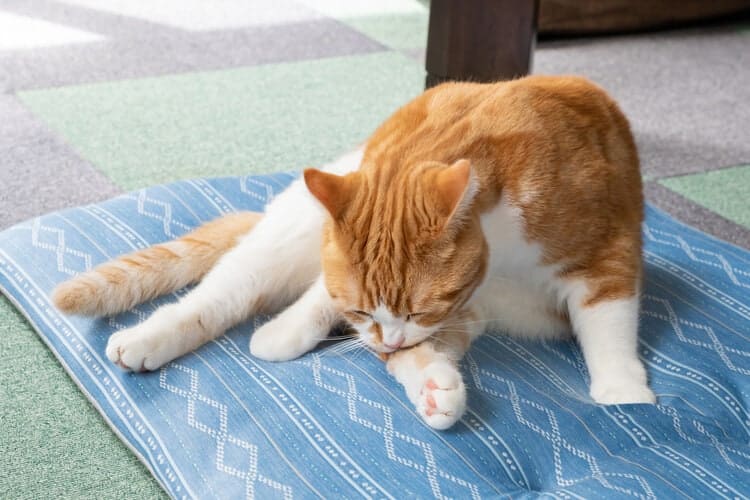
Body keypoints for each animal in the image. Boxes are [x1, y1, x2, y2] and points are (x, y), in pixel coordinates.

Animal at [54, 75, 656, 430]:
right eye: (364, 309)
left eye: (420, 307)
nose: (385, 338)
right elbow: (329, 300)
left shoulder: (605, 255)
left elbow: (608, 325)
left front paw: (622, 393)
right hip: (284, 241)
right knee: (223, 297)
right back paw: (153, 339)